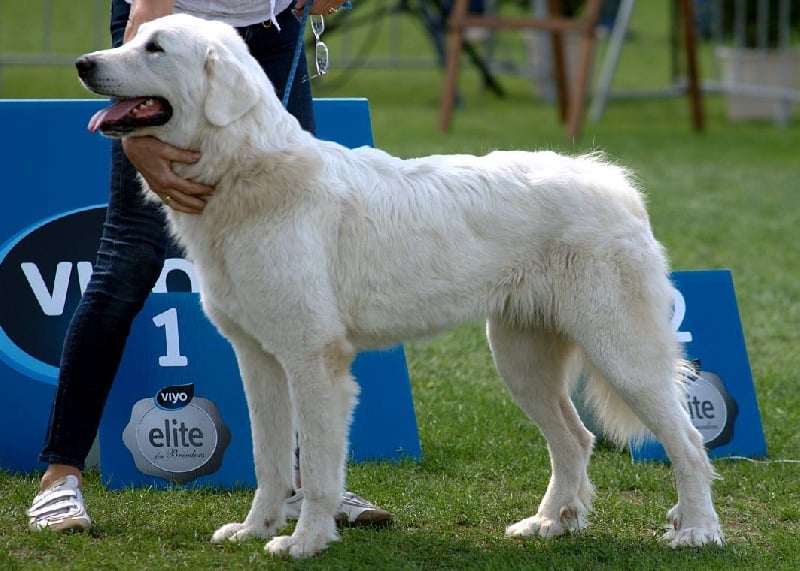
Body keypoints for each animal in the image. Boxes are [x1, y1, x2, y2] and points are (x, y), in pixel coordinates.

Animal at [78, 13, 728, 560]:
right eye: (134, 37)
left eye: (155, 48)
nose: (84, 63)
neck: (243, 170)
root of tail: (616, 184)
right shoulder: (260, 360)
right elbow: (269, 461)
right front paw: (255, 529)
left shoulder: (314, 362)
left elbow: (317, 470)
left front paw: (305, 542)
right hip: (521, 361)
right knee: (575, 439)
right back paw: (551, 522)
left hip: (622, 356)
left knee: (688, 442)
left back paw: (696, 530)